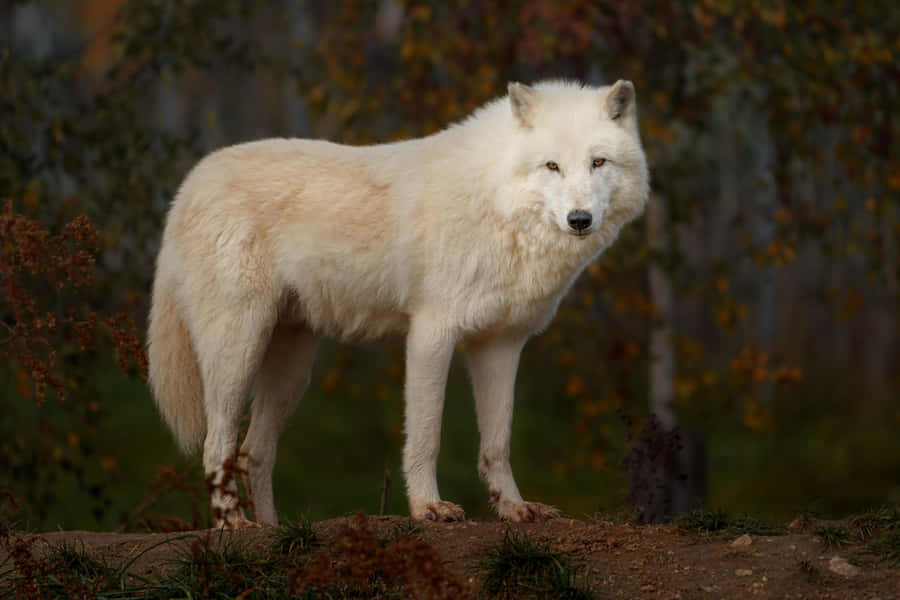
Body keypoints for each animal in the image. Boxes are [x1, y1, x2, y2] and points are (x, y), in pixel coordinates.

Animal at [147, 79, 649, 527]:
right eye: (552, 166)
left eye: (598, 162)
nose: (579, 219)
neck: (498, 203)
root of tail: (189, 184)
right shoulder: (431, 334)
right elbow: (426, 435)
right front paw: (429, 508)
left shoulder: (500, 344)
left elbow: (497, 444)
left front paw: (513, 508)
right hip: (238, 351)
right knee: (217, 445)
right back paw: (233, 525)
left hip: (291, 368)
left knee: (254, 452)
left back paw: (272, 529)